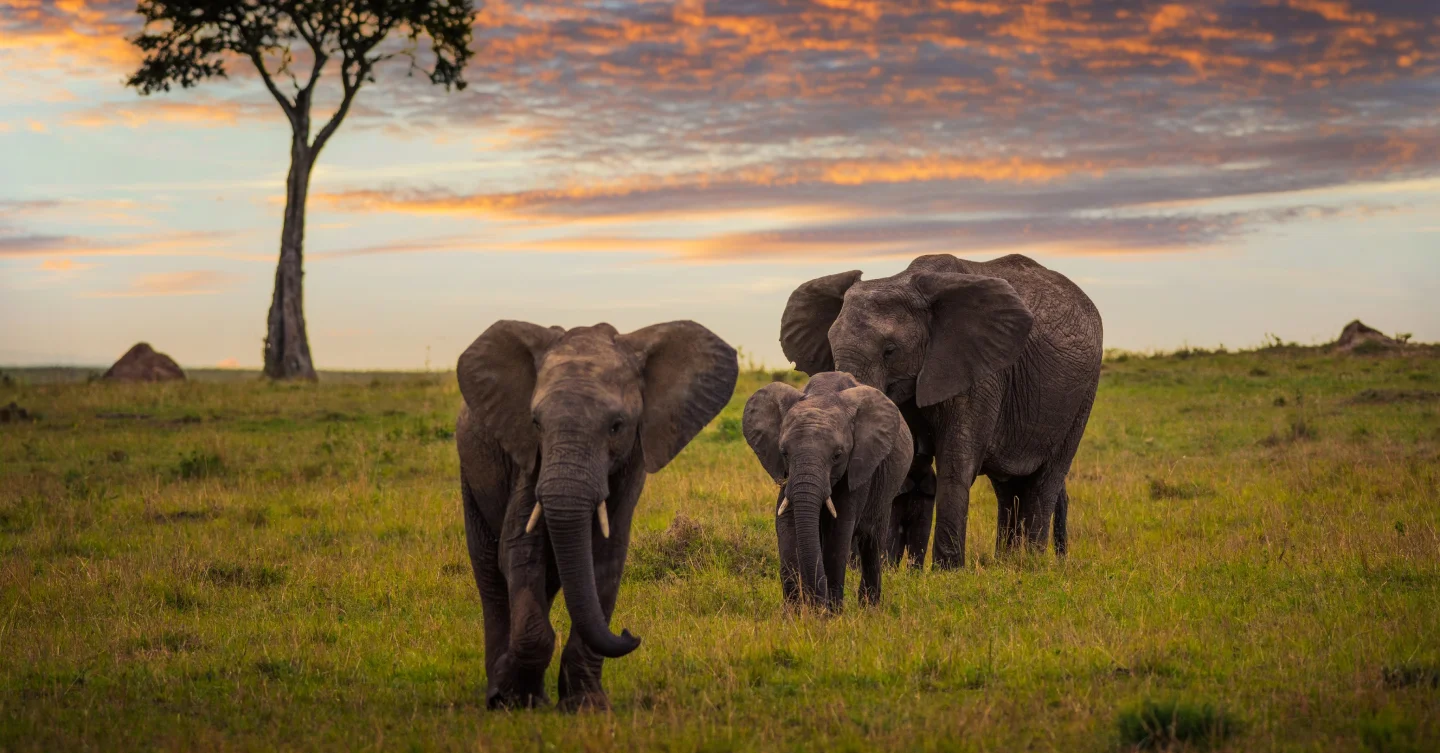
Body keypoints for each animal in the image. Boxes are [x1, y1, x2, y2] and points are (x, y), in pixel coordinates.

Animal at [455, 320, 738, 711]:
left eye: (616, 426)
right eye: (535, 423)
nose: (630, 633)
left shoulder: (633, 456)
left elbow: (606, 556)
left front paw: (586, 707)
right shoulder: (527, 456)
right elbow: (519, 549)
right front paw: (512, 698)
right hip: (471, 470)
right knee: (489, 570)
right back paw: (503, 694)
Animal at [742, 372, 914, 608]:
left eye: (837, 455)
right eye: (784, 452)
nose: (816, 604)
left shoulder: (859, 469)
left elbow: (838, 528)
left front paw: (829, 613)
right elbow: (787, 523)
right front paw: (795, 612)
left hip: (885, 492)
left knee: (872, 544)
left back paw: (869, 608)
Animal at [780, 253, 1102, 569]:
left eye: (890, 351)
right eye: (831, 347)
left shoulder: (977, 370)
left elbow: (955, 463)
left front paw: (947, 570)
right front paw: (882, 565)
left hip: (1083, 396)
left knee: (1045, 482)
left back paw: (1032, 562)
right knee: (1006, 488)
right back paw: (1007, 562)